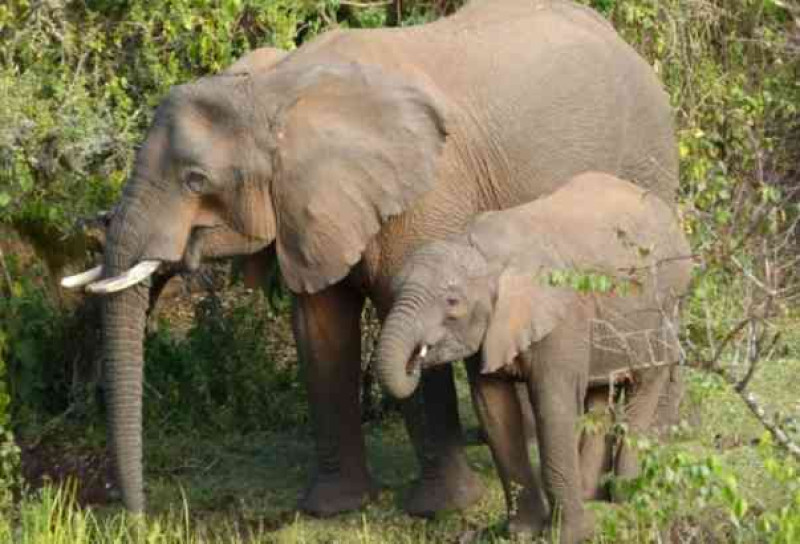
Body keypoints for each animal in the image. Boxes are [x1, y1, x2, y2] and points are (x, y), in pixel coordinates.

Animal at [61, 0, 679, 516]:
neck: (273, 88)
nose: (134, 513)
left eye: (195, 180)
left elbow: (400, 314)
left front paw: (440, 509)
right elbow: (320, 329)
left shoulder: (426, 195)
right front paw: (332, 508)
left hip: (648, 161)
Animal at [375, 173, 693, 542]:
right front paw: (521, 532)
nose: (415, 360)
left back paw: (625, 497)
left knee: (644, 385)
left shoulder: (562, 316)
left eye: (452, 302)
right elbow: (494, 408)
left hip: (663, 305)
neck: (485, 252)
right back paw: (591, 496)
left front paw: (570, 535)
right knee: (598, 395)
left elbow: (553, 406)